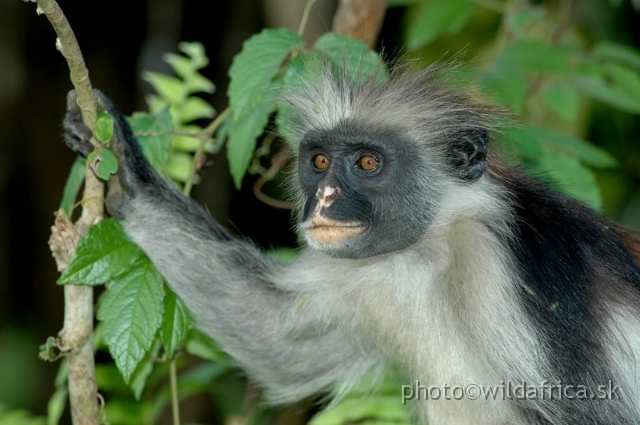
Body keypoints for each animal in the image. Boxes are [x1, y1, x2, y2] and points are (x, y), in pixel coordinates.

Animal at [62, 63, 640, 424]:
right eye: (319, 161)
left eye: (367, 162)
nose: (324, 199)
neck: (434, 249)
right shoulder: (369, 271)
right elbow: (279, 340)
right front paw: (128, 172)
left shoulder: (522, 266)